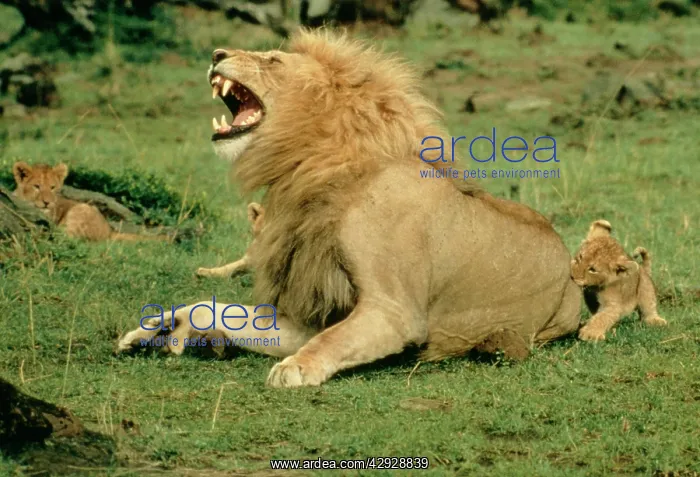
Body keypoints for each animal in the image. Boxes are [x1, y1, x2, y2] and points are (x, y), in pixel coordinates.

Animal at [117, 29, 582, 388]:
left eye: (272, 60)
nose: (216, 54)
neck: (310, 170)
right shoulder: (311, 313)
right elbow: (218, 308)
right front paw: (162, 327)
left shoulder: (395, 312)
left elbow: (333, 340)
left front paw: (294, 368)